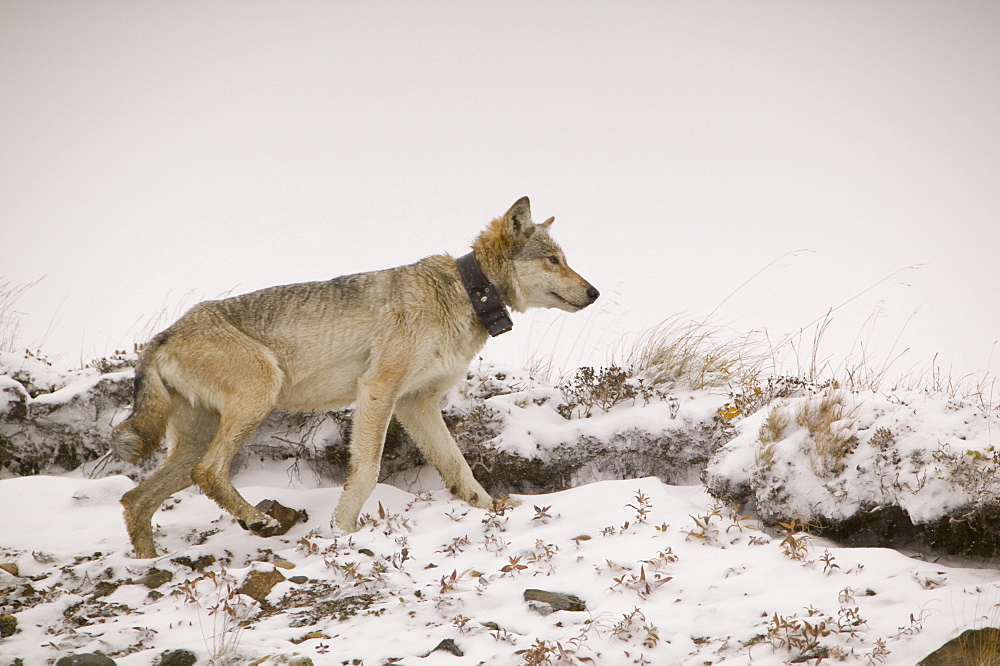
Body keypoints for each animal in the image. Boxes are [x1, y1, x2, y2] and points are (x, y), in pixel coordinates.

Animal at [110, 196, 596, 556]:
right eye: (553, 259)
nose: (594, 291)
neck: (464, 292)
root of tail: (161, 336)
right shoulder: (379, 390)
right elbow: (367, 470)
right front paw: (343, 530)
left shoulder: (416, 403)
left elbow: (459, 467)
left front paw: (491, 510)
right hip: (257, 399)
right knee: (206, 474)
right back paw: (256, 519)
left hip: (197, 438)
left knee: (136, 500)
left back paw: (149, 564)